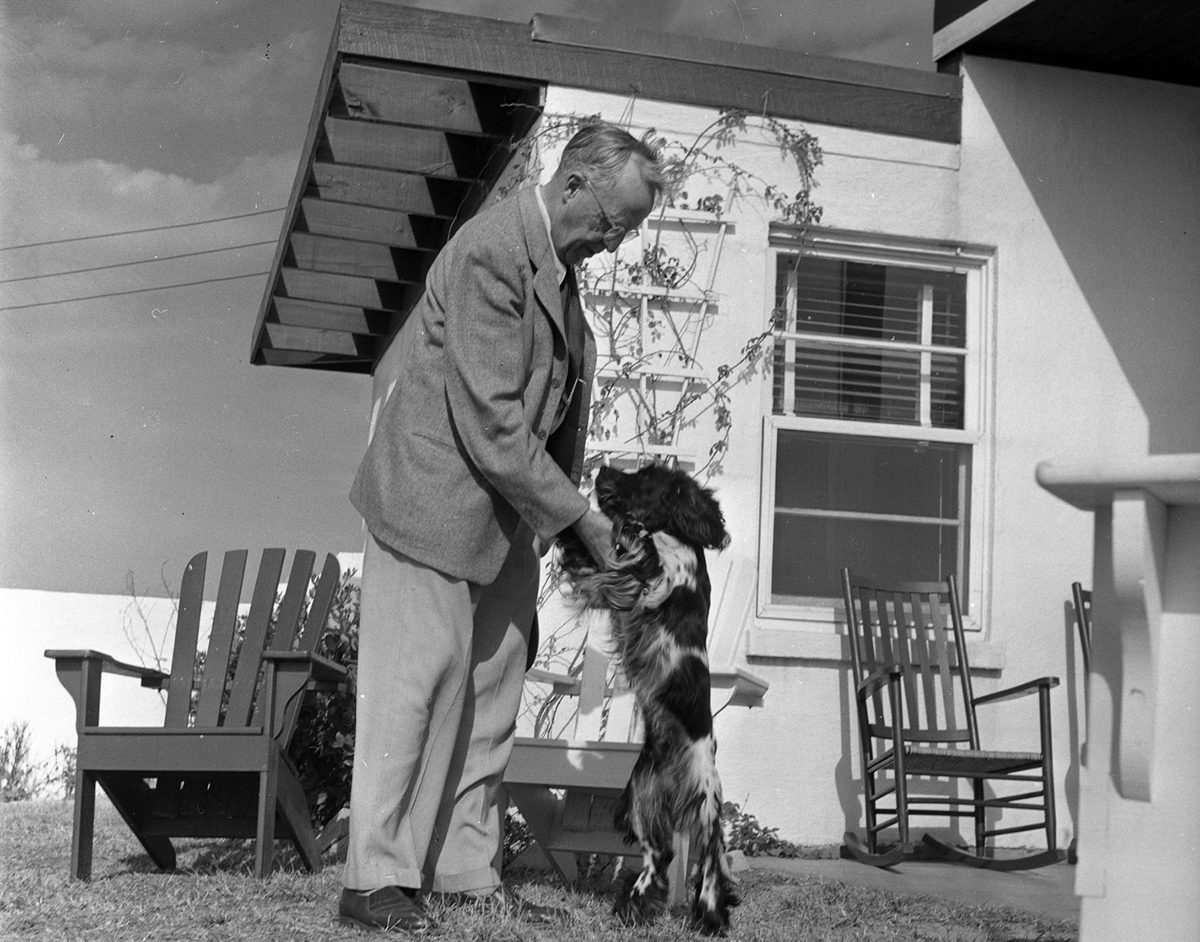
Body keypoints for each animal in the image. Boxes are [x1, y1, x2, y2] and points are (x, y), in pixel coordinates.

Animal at [556, 463, 734, 931]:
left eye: (645, 475)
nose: (602, 469)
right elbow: (590, 557)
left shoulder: (664, 579)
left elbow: (647, 554)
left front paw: (633, 527)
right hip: (641, 799)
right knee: (661, 856)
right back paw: (632, 907)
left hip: (704, 800)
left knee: (710, 856)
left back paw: (710, 913)